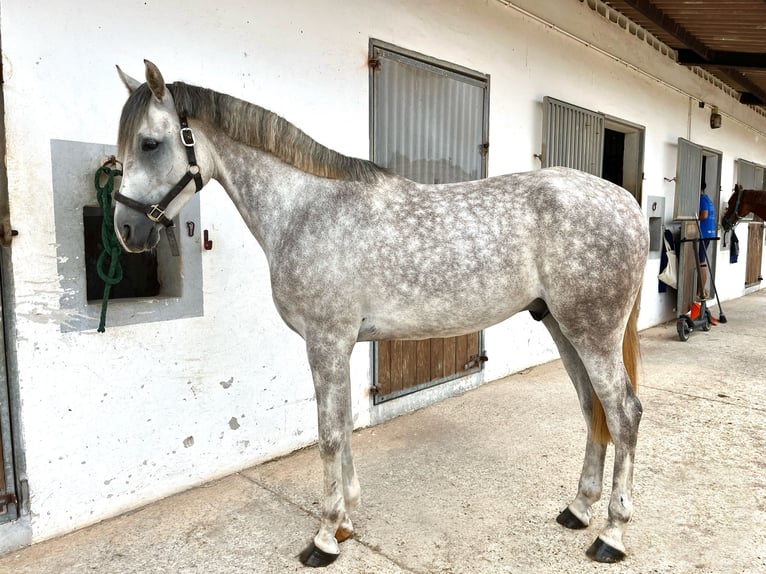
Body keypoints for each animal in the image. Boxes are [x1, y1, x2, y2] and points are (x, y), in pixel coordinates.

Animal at [114, 62, 652, 568]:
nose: (126, 231)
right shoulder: (340, 344)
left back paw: (611, 534)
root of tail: (626, 202)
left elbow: (329, 434)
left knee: (623, 413)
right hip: (564, 327)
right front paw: (346, 521)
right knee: (592, 408)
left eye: (150, 143)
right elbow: (343, 424)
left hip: (592, 332)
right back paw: (578, 510)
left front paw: (325, 537)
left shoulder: (325, 342)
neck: (305, 210)